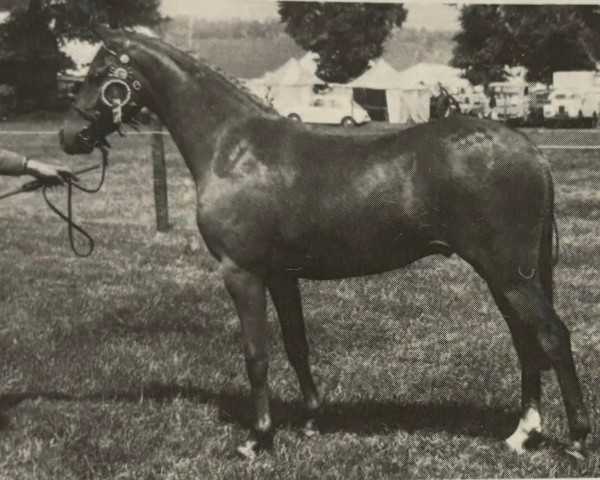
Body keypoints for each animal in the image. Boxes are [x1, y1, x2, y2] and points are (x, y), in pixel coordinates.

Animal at [61, 27, 592, 462]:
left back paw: (577, 439)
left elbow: (256, 354)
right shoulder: (280, 275)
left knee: (552, 336)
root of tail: (531, 151)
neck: (234, 147)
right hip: (505, 275)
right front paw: (313, 421)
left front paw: (257, 439)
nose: (69, 135)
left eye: (99, 73)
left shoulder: (241, 272)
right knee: (525, 340)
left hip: (507, 271)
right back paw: (522, 435)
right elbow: (297, 345)